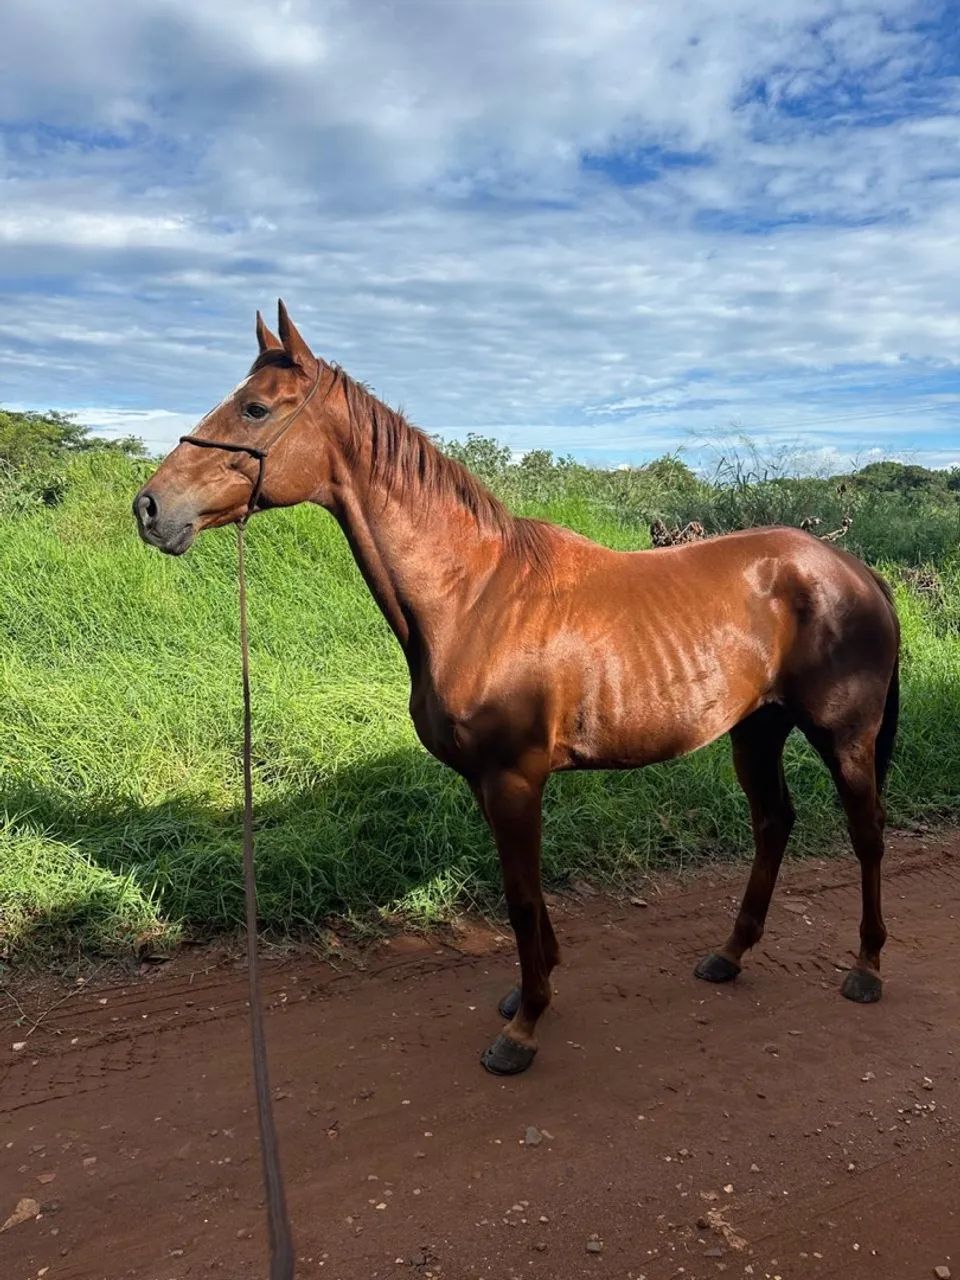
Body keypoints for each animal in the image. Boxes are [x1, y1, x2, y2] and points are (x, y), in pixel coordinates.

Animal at [134, 302, 900, 1076]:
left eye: (255, 408)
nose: (150, 507)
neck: (475, 598)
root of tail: (852, 569)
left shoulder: (513, 780)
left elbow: (521, 899)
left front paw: (525, 1026)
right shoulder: (488, 782)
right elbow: (525, 895)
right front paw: (533, 989)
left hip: (844, 739)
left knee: (867, 834)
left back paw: (866, 968)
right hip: (757, 731)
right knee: (773, 824)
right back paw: (730, 954)